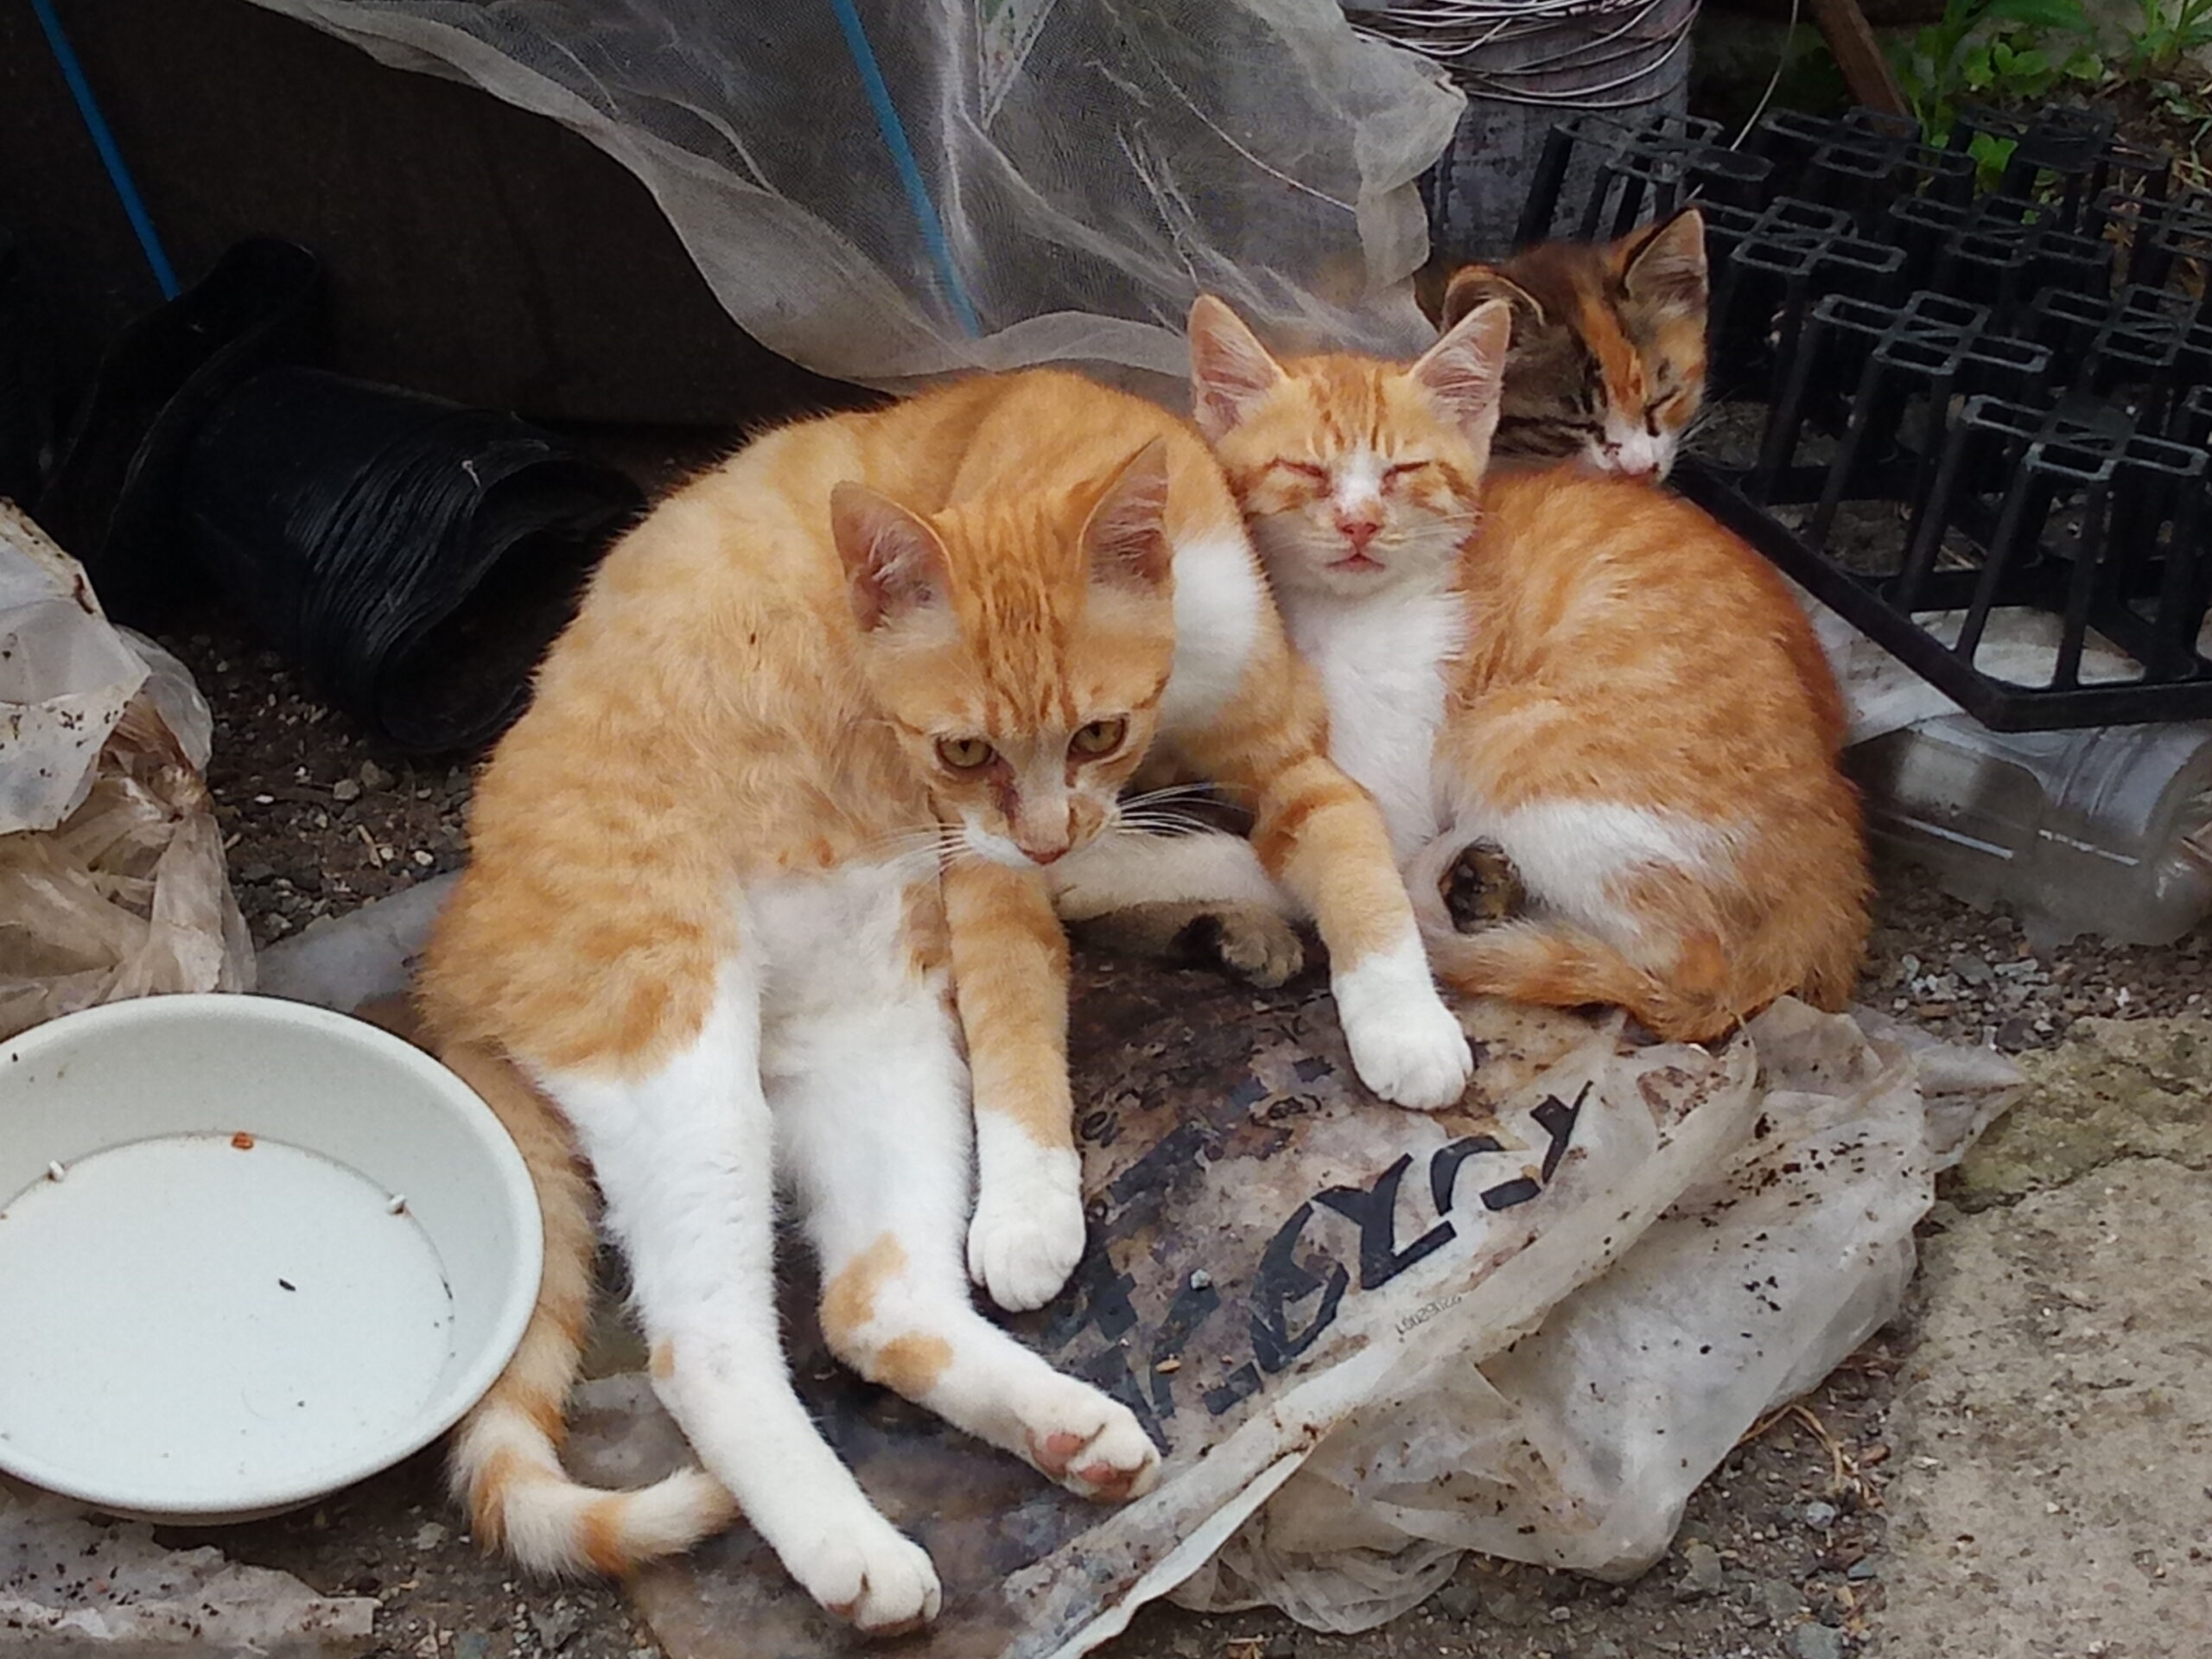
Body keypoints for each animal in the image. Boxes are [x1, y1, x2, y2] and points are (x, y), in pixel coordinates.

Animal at [416, 362, 1473, 1630]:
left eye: (1096, 728)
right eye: (962, 749)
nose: (1048, 829)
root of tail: (453, 936)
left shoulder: (1269, 756)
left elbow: (1331, 843)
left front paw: (1376, 996)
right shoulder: (976, 861)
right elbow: (1053, 974)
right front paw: (1034, 1206)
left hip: (875, 1035)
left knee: (872, 1305)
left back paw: (1063, 1432)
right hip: (679, 1034)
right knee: (704, 1343)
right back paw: (849, 1546)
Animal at [1064, 293, 1867, 1045]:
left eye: (1403, 472)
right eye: (1307, 470)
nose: (1359, 523)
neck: (1319, 616)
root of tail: (1834, 881)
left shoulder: (1387, 803)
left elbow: (1266, 853)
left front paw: (1095, 871)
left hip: (1516, 740)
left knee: (1687, 961)